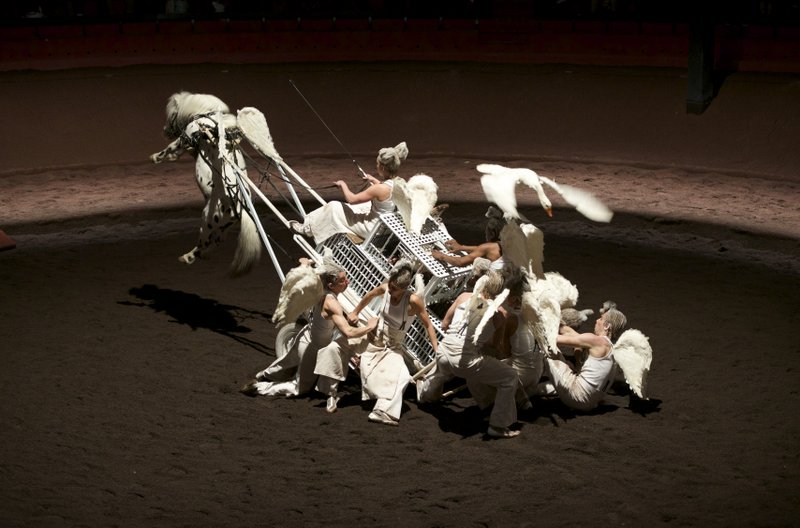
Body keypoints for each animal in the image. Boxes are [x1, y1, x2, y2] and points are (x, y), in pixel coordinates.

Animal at [149, 92, 260, 276]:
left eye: (171, 115)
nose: (165, 131)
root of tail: (240, 208)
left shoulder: (184, 139)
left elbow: (171, 148)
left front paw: (156, 157)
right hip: (222, 227)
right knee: (217, 241)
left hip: (207, 222)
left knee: (204, 244)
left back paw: (187, 257)